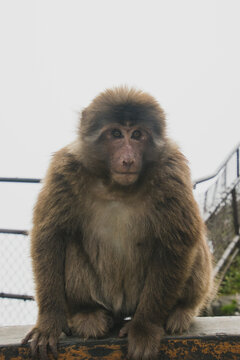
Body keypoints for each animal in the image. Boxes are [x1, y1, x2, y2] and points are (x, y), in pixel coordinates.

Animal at [22, 88, 213, 360]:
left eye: (137, 135)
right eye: (115, 134)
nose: (128, 159)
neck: (116, 185)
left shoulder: (171, 170)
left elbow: (176, 242)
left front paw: (144, 327)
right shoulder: (65, 168)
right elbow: (50, 236)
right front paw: (49, 323)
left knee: (191, 244)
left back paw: (180, 311)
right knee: (70, 243)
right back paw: (88, 313)